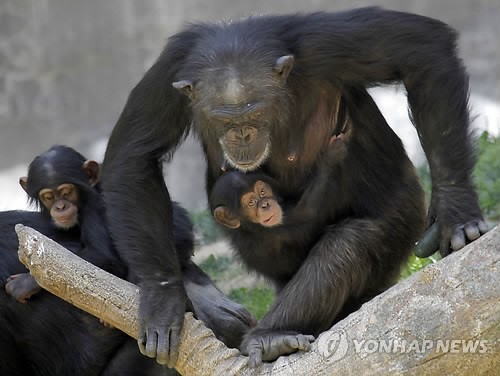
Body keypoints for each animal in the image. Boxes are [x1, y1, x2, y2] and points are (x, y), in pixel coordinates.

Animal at [100, 7, 488, 368]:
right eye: (223, 119)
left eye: (254, 114)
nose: (242, 134)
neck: (231, 45)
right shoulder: (172, 66)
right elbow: (135, 156)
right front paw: (162, 297)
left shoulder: (320, 42)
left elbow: (420, 49)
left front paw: (456, 210)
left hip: (404, 213)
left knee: (346, 246)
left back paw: (268, 336)